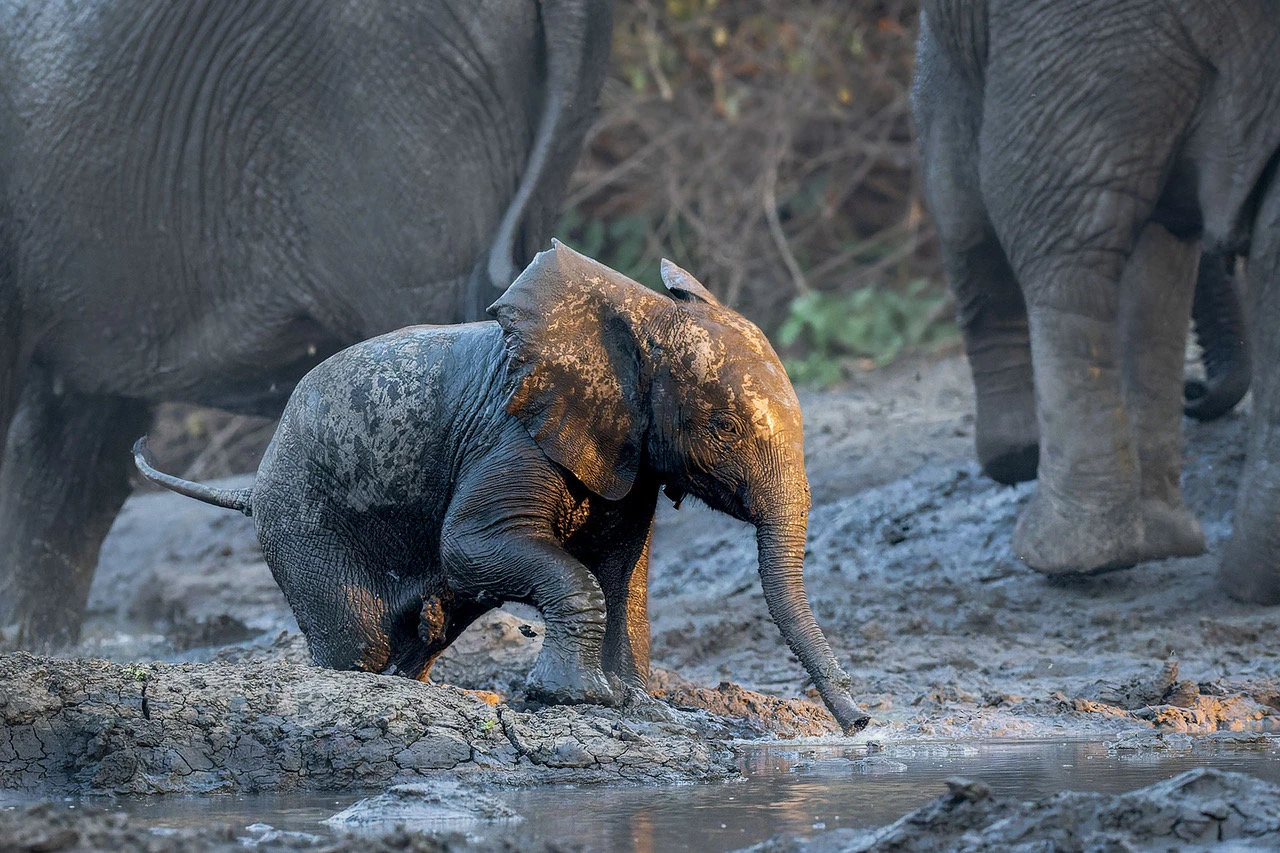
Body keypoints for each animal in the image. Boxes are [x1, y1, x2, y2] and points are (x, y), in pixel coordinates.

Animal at [132, 240, 870, 732]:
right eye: (724, 425)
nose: (860, 721)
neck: (639, 317)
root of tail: (255, 480)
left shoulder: (627, 455)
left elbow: (622, 571)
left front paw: (637, 702)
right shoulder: (513, 434)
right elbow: (473, 546)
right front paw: (579, 698)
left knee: (419, 635)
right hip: (301, 514)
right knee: (360, 640)